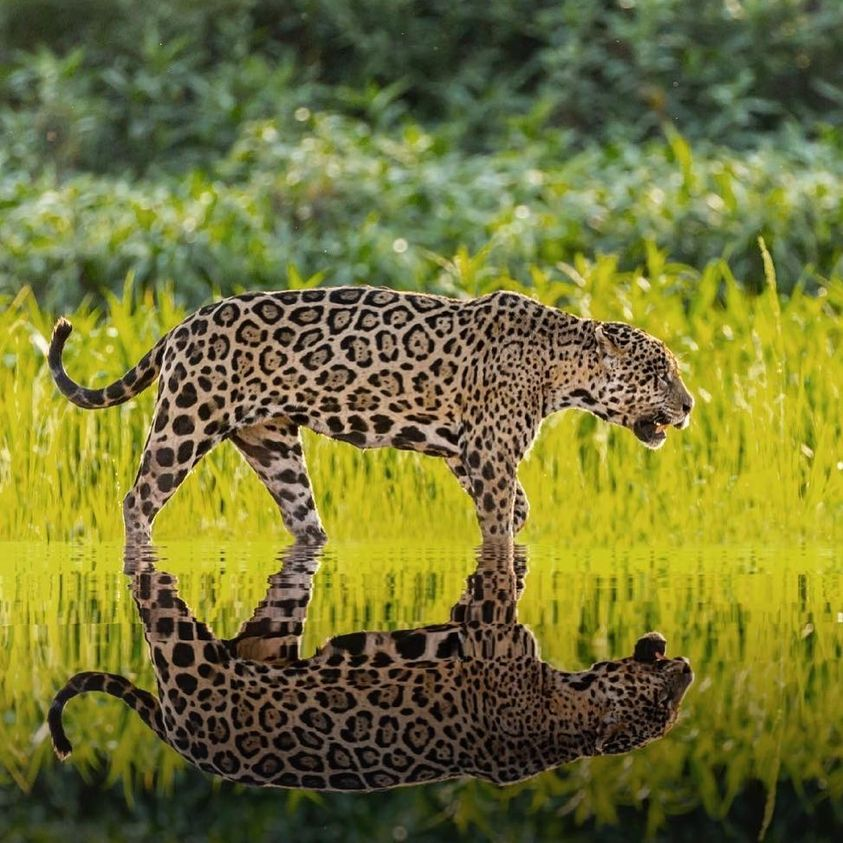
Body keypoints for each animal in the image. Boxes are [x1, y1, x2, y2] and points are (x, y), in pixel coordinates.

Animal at [48, 286, 694, 542]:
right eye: (660, 372)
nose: (689, 406)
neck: (561, 366)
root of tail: (184, 322)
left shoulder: (466, 453)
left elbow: (517, 509)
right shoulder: (487, 454)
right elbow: (497, 526)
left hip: (272, 443)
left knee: (301, 518)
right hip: (187, 419)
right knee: (138, 499)